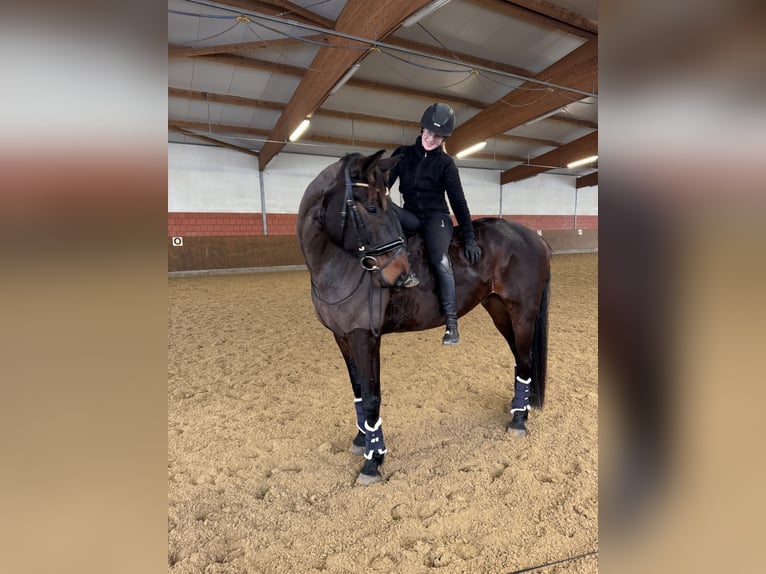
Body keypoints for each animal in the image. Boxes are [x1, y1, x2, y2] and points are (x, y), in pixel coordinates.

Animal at [298, 152, 552, 486]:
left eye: (382, 206)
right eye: (371, 208)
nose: (402, 274)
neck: (339, 263)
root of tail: (534, 238)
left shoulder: (364, 337)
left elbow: (371, 397)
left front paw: (373, 461)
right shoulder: (342, 337)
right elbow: (358, 391)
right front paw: (362, 441)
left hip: (522, 311)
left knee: (524, 359)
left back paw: (519, 421)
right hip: (499, 308)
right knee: (520, 358)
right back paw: (519, 408)